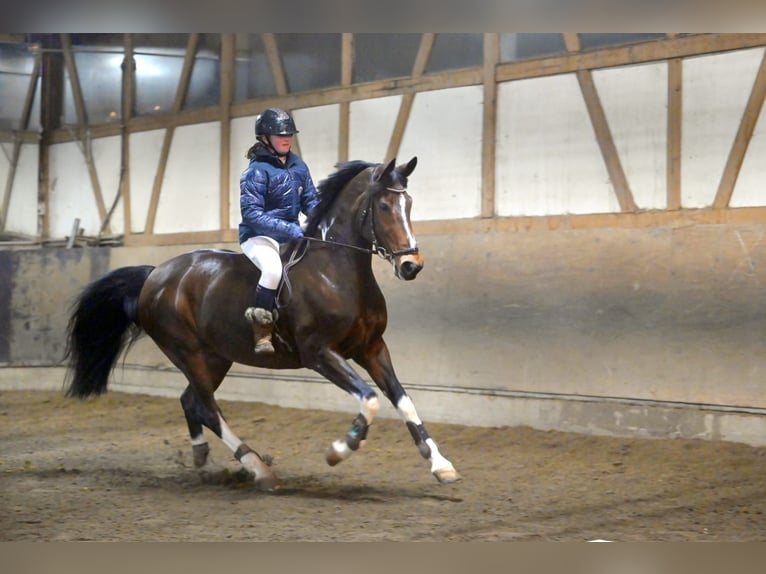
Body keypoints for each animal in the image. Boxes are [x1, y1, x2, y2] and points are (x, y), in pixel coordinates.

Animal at [63, 156, 460, 490]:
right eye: (383, 206)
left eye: (409, 204)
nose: (412, 266)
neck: (337, 272)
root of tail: (154, 275)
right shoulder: (319, 353)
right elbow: (371, 399)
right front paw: (339, 450)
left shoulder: (373, 348)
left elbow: (403, 400)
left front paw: (441, 465)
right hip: (188, 352)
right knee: (207, 406)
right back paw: (258, 468)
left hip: (216, 357)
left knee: (191, 401)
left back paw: (203, 457)